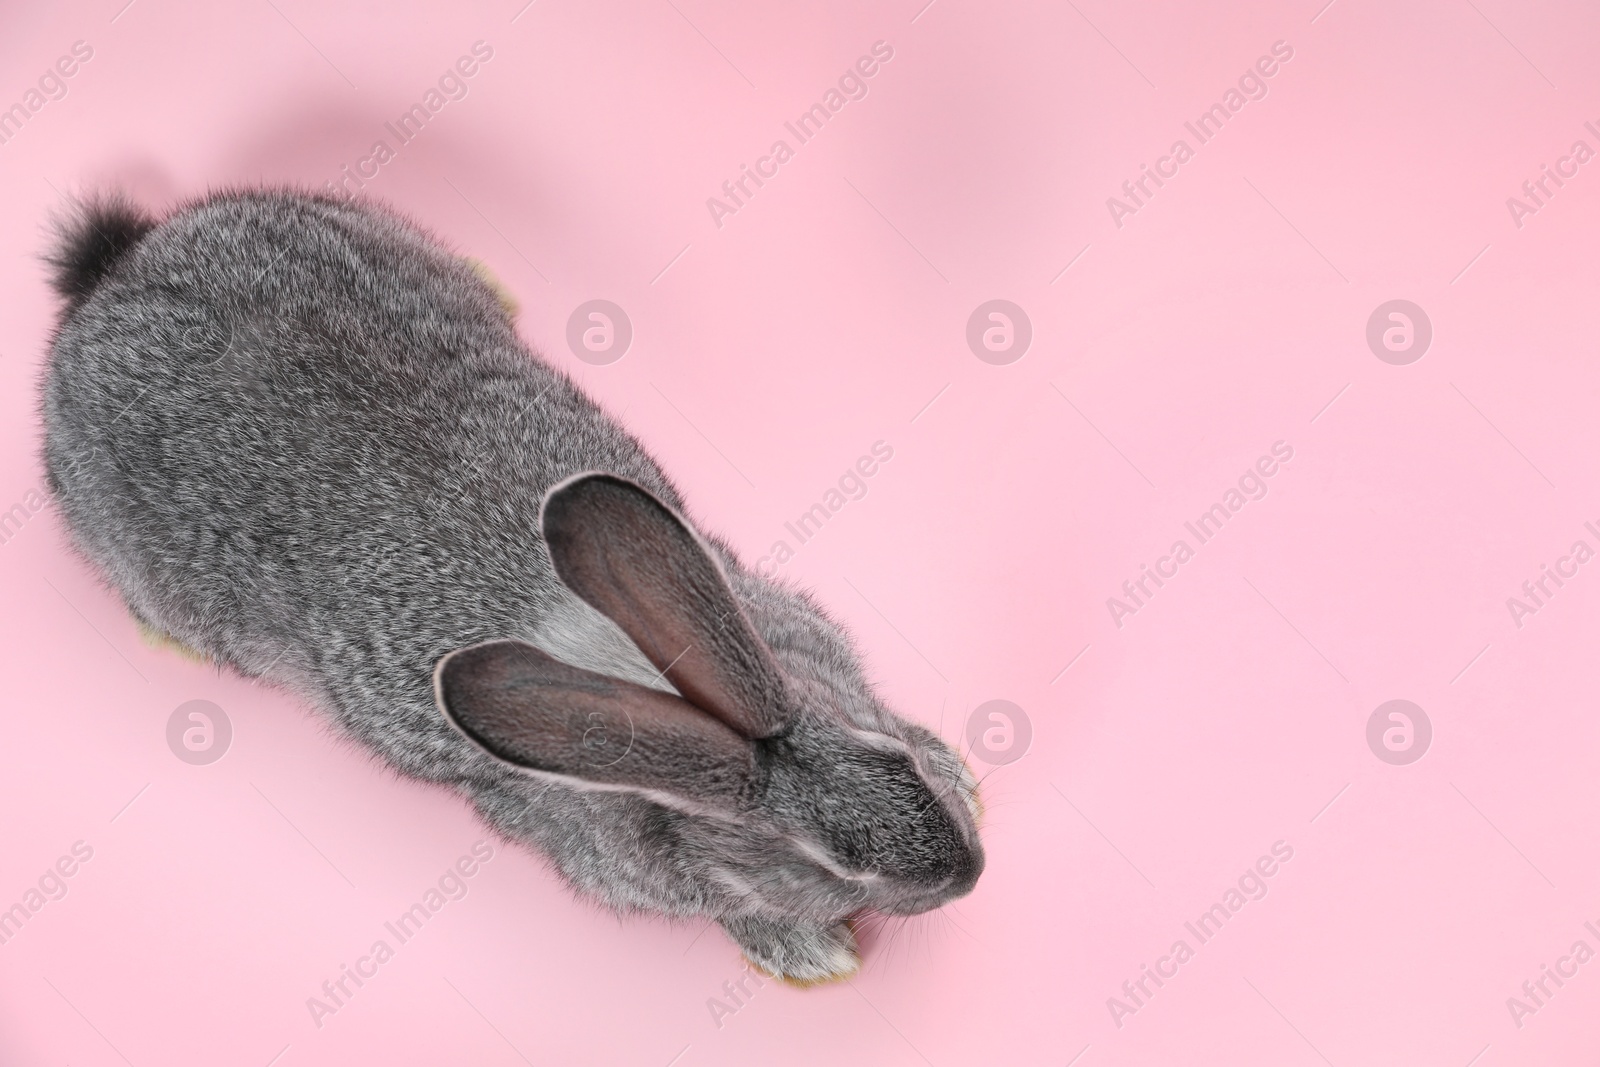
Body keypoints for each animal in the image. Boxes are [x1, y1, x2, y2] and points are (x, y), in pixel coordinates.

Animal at [37, 187, 979, 979]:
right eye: (825, 863)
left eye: (891, 758)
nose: (969, 869)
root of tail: (113, 275)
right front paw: (812, 955)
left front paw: (958, 768)